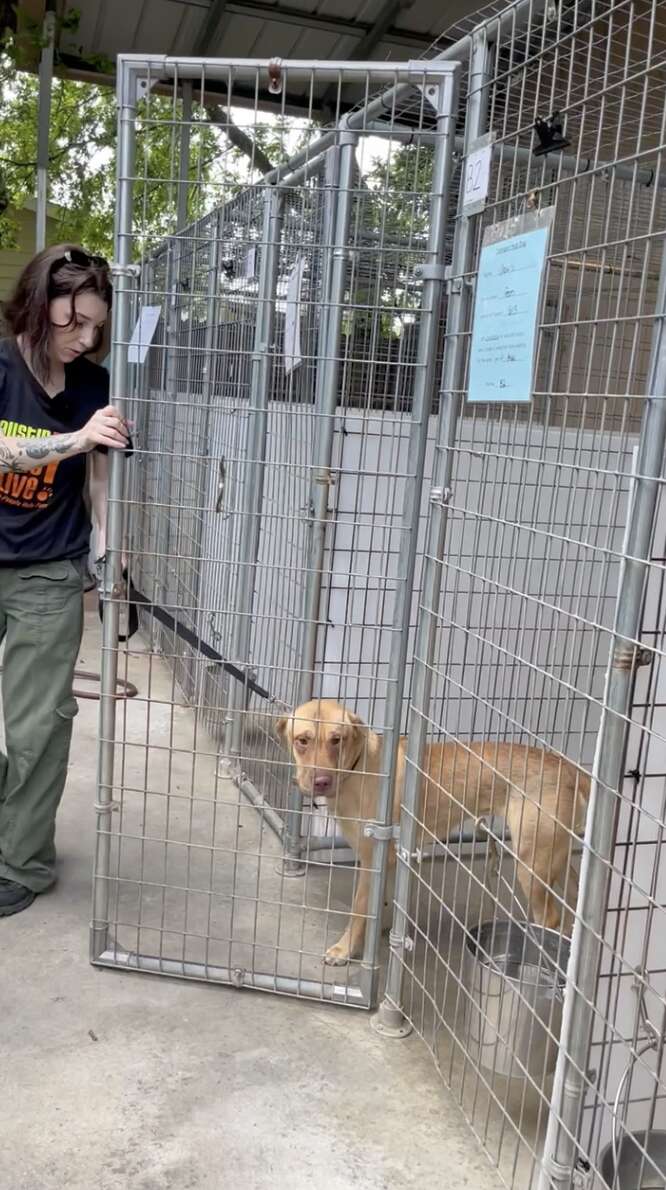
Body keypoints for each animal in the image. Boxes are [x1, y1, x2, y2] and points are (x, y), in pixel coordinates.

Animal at [275, 699, 587, 961]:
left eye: (336, 739)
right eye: (302, 740)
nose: (321, 781)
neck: (358, 766)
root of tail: (568, 767)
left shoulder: (372, 857)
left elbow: (360, 909)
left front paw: (346, 948)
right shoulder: (389, 858)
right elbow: (383, 900)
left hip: (531, 863)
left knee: (550, 919)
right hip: (554, 857)